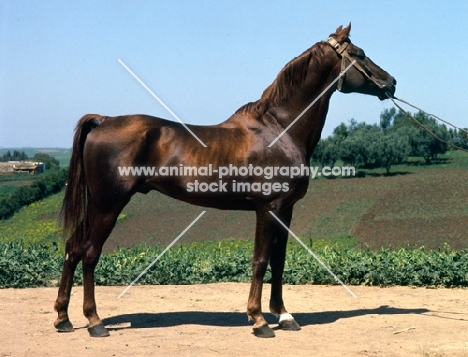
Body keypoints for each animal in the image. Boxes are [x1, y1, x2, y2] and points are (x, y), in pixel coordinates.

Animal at [56, 24, 396, 336]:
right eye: (359, 54)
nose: (391, 83)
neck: (279, 130)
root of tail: (103, 121)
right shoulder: (267, 208)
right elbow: (261, 260)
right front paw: (258, 320)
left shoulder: (285, 210)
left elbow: (279, 261)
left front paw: (284, 316)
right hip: (108, 205)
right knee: (89, 253)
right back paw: (94, 322)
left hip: (98, 206)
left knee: (73, 248)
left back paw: (63, 318)